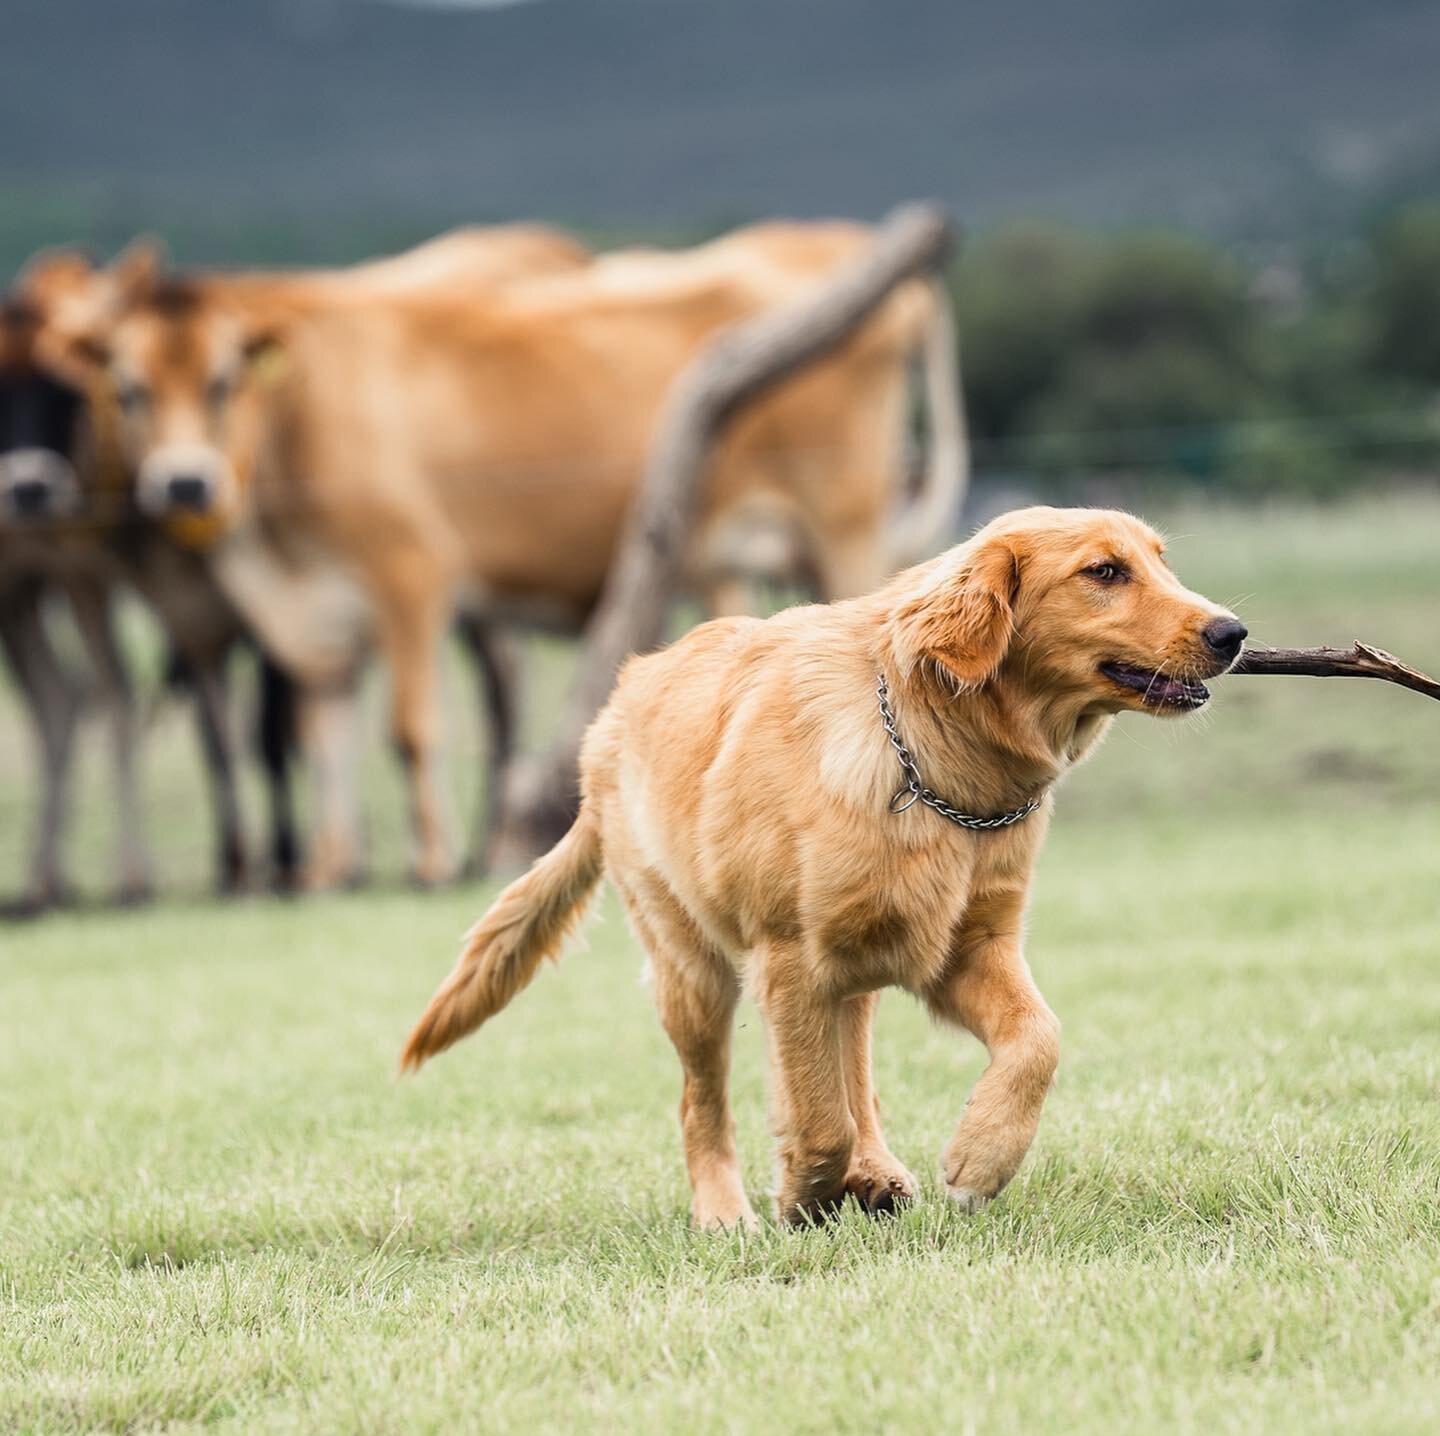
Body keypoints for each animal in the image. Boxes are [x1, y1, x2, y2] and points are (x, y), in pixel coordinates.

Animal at [56, 218, 961, 887]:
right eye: (128, 390)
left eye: (222, 381)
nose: (183, 484)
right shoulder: (314, 621)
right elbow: (325, 739)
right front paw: (329, 868)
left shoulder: (410, 577)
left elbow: (408, 729)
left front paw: (428, 863)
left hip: (842, 533)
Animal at [400, 504, 1244, 1221]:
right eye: (1104, 571)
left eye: (1160, 562)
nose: (1233, 633)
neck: (931, 763)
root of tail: (608, 721)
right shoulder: (791, 962)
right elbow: (815, 1112)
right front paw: (805, 1192)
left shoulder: (969, 947)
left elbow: (1038, 1039)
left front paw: (981, 1157)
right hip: (693, 969)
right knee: (704, 1102)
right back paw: (727, 1212)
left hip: (858, 962)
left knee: (856, 1076)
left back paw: (876, 1172)